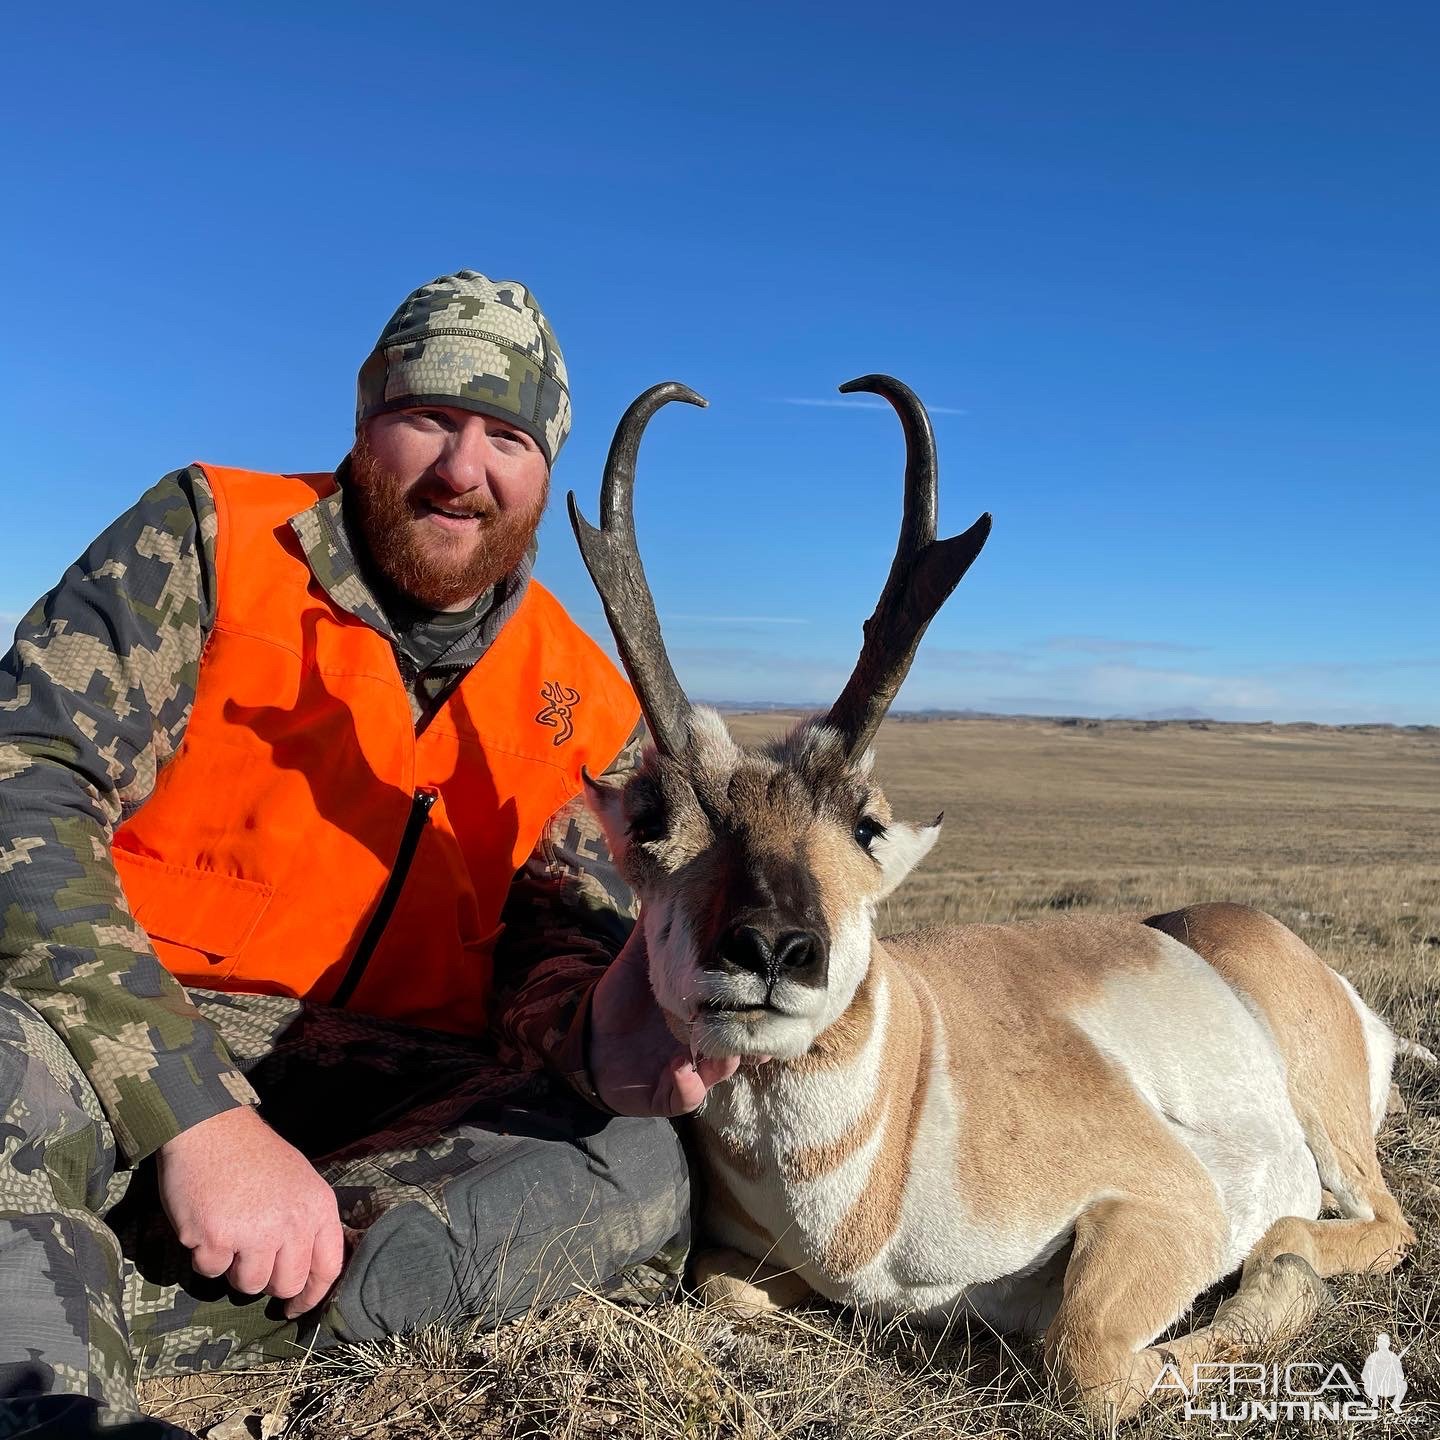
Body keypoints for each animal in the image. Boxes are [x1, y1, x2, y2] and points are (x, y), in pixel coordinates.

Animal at [564, 377, 1428, 1422]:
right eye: (655, 817)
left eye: (866, 824)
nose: (771, 948)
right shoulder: (749, 1262)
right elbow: (723, 1288)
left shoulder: (1163, 1203)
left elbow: (1085, 1361)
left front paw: (1272, 1289)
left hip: (1322, 1115)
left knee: (1376, 1223)